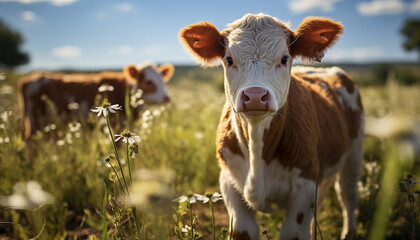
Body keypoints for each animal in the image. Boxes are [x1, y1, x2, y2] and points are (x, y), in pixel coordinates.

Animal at [18, 61, 174, 142]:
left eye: (163, 80)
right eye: (149, 81)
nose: (167, 97)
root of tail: (29, 79)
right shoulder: (115, 124)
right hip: (34, 122)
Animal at [180, 13, 364, 240]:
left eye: (284, 58)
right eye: (229, 59)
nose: (255, 95)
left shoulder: (306, 184)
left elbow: (294, 232)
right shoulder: (228, 181)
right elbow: (243, 231)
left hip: (355, 151)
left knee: (347, 195)